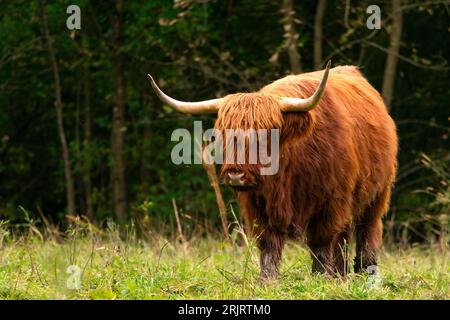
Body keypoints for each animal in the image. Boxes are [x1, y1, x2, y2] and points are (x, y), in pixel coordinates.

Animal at [148, 62, 398, 282]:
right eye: (224, 134)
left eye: (265, 135)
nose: (235, 175)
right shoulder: (257, 203)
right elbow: (268, 242)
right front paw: (268, 280)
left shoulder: (331, 200)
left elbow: (321, 240)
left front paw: (320, 277)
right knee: (344, 236)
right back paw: (341, 274)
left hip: (377, 194)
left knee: (367, 231)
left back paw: (366, 273)